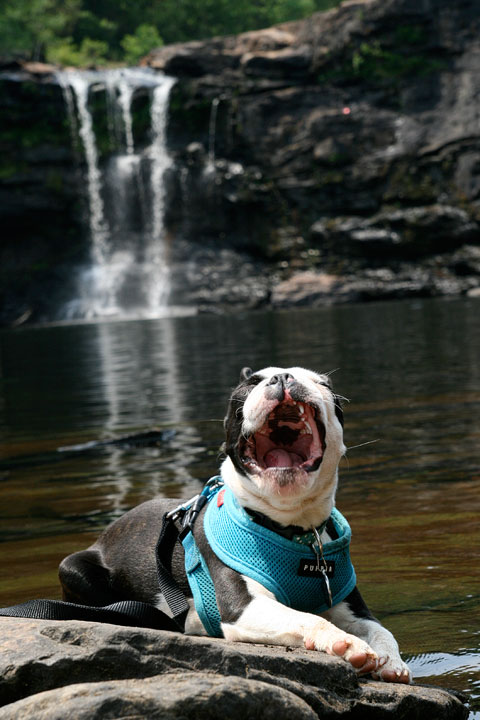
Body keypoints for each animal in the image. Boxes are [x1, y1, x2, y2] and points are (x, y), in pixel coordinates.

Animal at [59, 366, 412, 680]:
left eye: (322, 383)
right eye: (251, 383)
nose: (283, 377)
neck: (295, 528)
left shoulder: (350, 606)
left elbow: (382, 630)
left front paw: (392, 662)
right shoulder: (244, 608)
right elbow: (309, 618)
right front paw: (346, 643)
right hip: (73, 568)